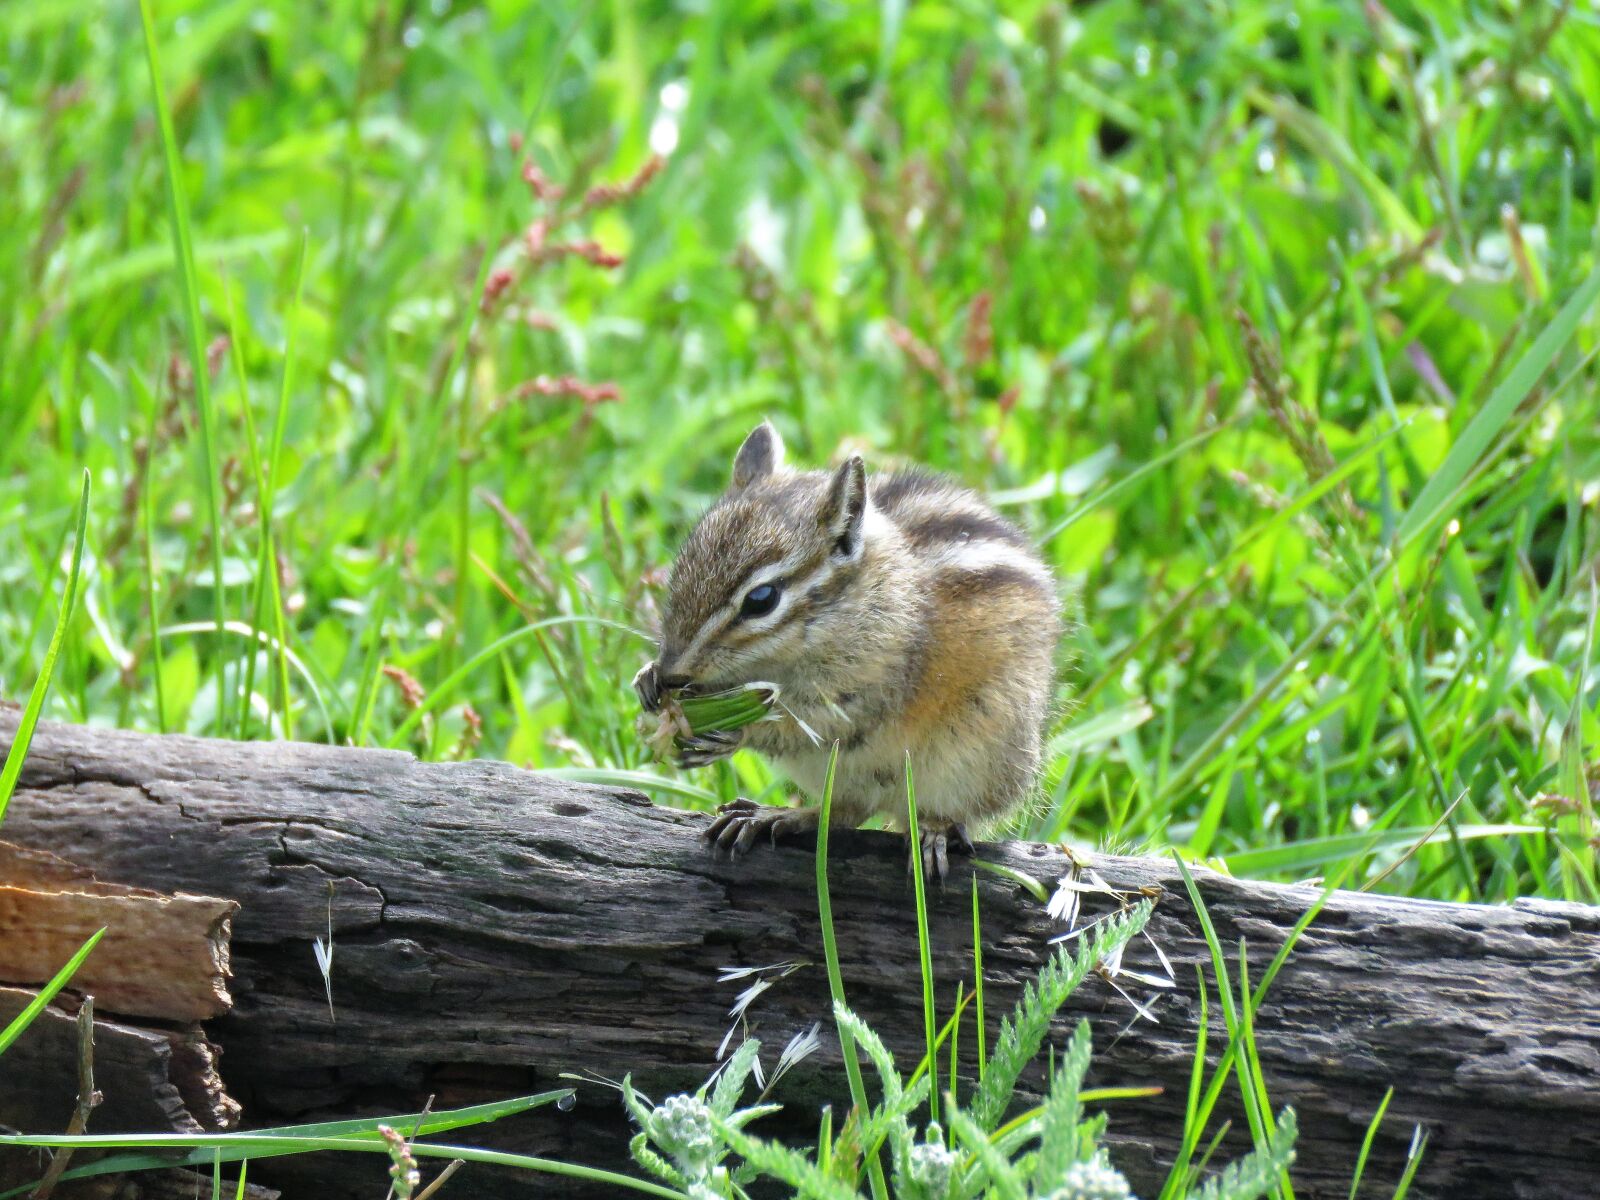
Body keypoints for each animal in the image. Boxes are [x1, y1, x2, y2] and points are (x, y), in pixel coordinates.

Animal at [634, 421, 1061, 878]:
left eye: (762, 599)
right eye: (681, 565)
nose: (673, 672)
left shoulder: (871, 685)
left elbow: (815, 724)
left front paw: (736, 733)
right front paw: (647, 679)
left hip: (977, 759)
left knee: (937, 814)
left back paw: (933, 832)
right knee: (843, 812)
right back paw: (775, 816)